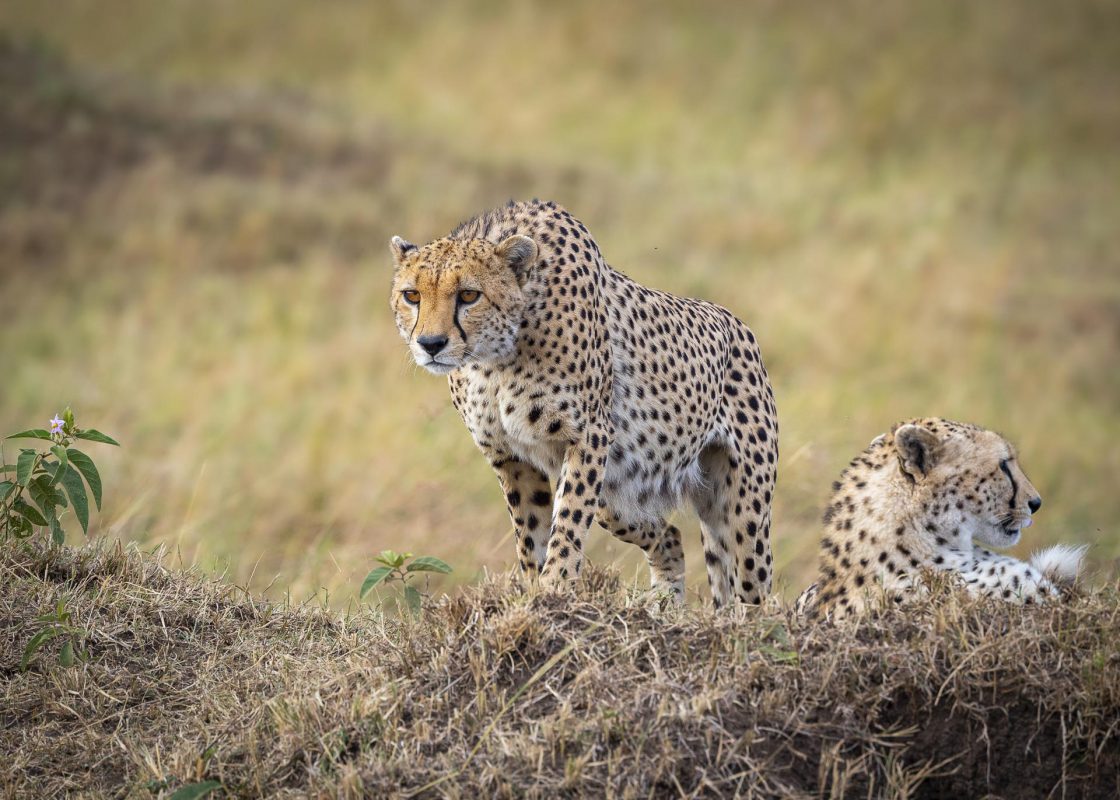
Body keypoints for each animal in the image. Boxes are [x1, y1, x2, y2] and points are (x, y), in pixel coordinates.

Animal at [389, 199, 775, 605]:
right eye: (412, 296)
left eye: (468, 295)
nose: (431, 344)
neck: (495, 358)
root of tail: (737, 323)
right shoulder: (510, 458)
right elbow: (530, 533)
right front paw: (535, 594)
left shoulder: (587, 435)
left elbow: (569, 520)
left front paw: (555, 587)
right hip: (616, 497)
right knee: (669, 535)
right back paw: (663, 604)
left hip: (743, 510)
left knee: (754, 587)